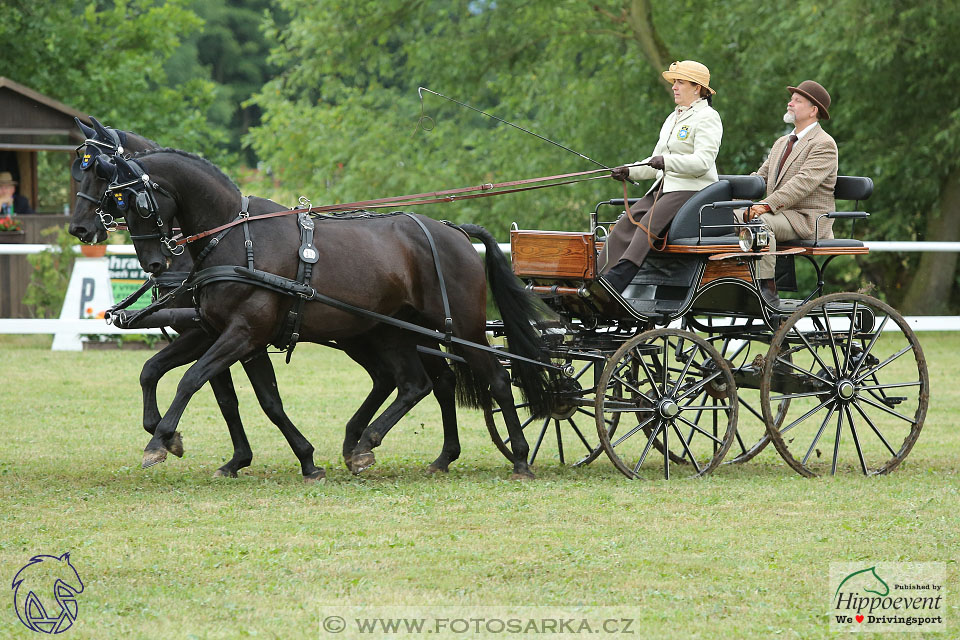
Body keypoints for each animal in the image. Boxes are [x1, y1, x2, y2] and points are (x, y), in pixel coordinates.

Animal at [90, 148, 556, 478]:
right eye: (118, 204)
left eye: (137, 203)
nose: (154, 263)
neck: (236, 238)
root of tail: (453, 230)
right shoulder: (225, 334)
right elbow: (177, 377)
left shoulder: (243, 333)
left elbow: (192, 379)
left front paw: (160, 441)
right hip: (393, 333)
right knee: (416, 383)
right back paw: (377, 446)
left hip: (462, 328)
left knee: (495, 380)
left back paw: (519, 458)